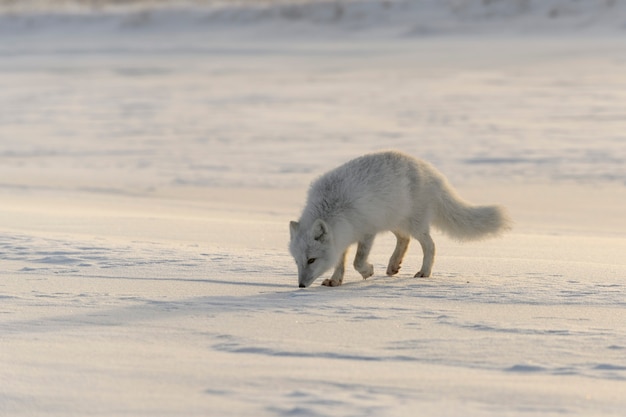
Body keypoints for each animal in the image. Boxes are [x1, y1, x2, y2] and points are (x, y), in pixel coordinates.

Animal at [290, 151, 510, 288]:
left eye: (311, 259)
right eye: (297, 261)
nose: (301, 285)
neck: (335, 208)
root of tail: (429, 169)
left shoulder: (367, 231)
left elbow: (357, 261)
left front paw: (368, 272)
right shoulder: (343, 238)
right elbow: (340, 262)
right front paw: (335, 281)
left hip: (413, 223)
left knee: (430, 244)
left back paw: (424, 272)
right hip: (395, 221)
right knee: (404, 239)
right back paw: (394, 265)